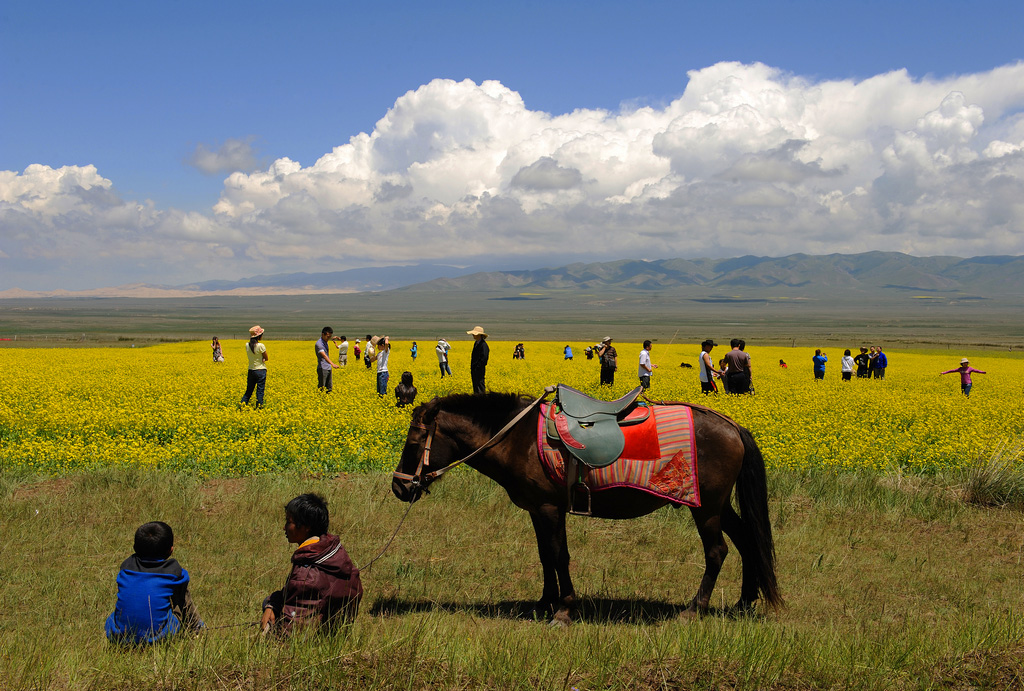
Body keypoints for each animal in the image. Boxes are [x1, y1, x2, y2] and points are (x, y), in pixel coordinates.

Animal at [391, 395, 782, 626]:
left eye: (414, 443)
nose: (399, 487)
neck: (517, 438)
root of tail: (733, 426)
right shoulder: (539, 509)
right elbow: (545, 556)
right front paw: (544, 603)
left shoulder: (549, 508)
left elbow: (558, 555)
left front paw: (563, 610)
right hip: (719, 504)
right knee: (747, 541)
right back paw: (744, 603)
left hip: (706, 508)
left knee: (717, 551)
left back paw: (693, 609)